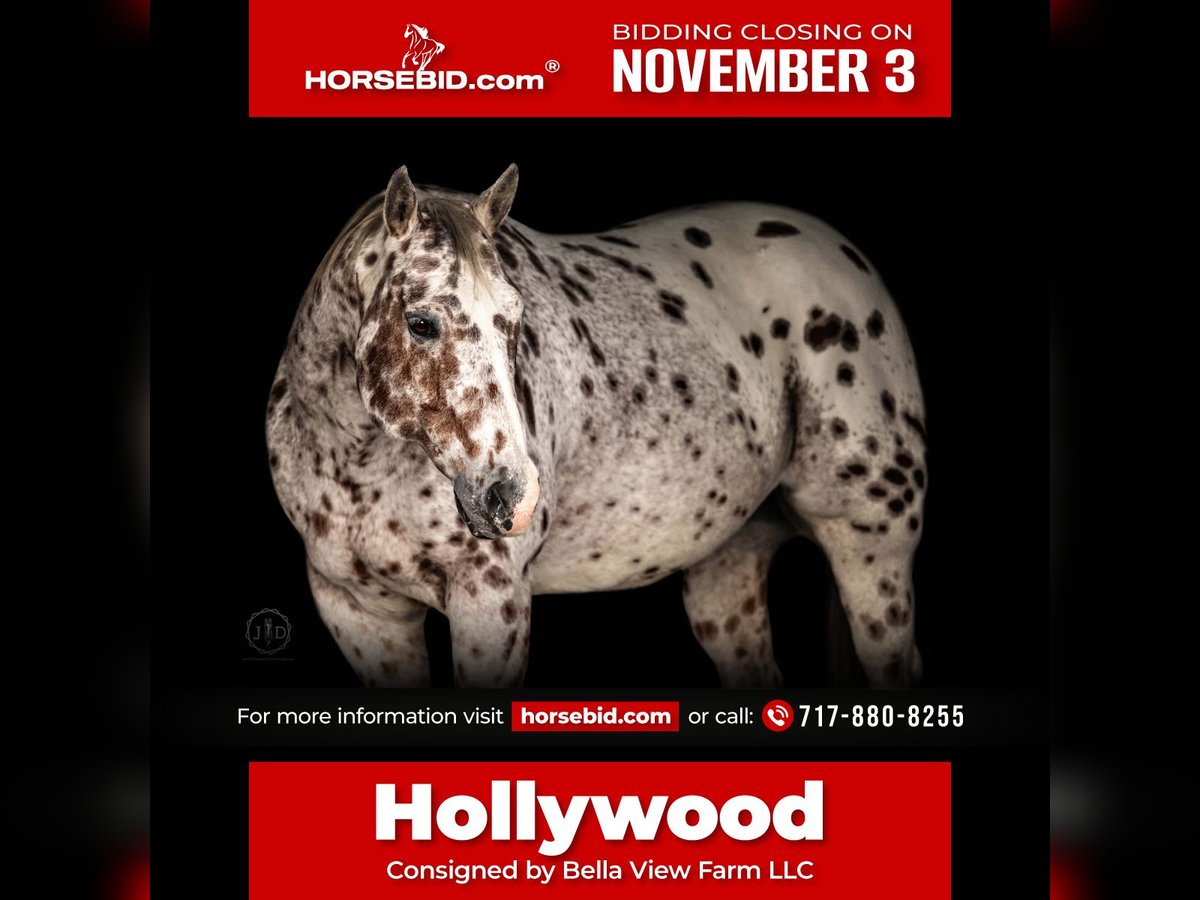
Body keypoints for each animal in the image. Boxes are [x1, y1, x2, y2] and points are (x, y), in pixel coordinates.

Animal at [266, 165, 927, 688]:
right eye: (421, 322)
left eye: (514, 319)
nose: (511, 495)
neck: (354, 462)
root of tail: (842, 258)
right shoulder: (358, 611)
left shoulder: (491, 597)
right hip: (728, 565)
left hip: (872, 550)